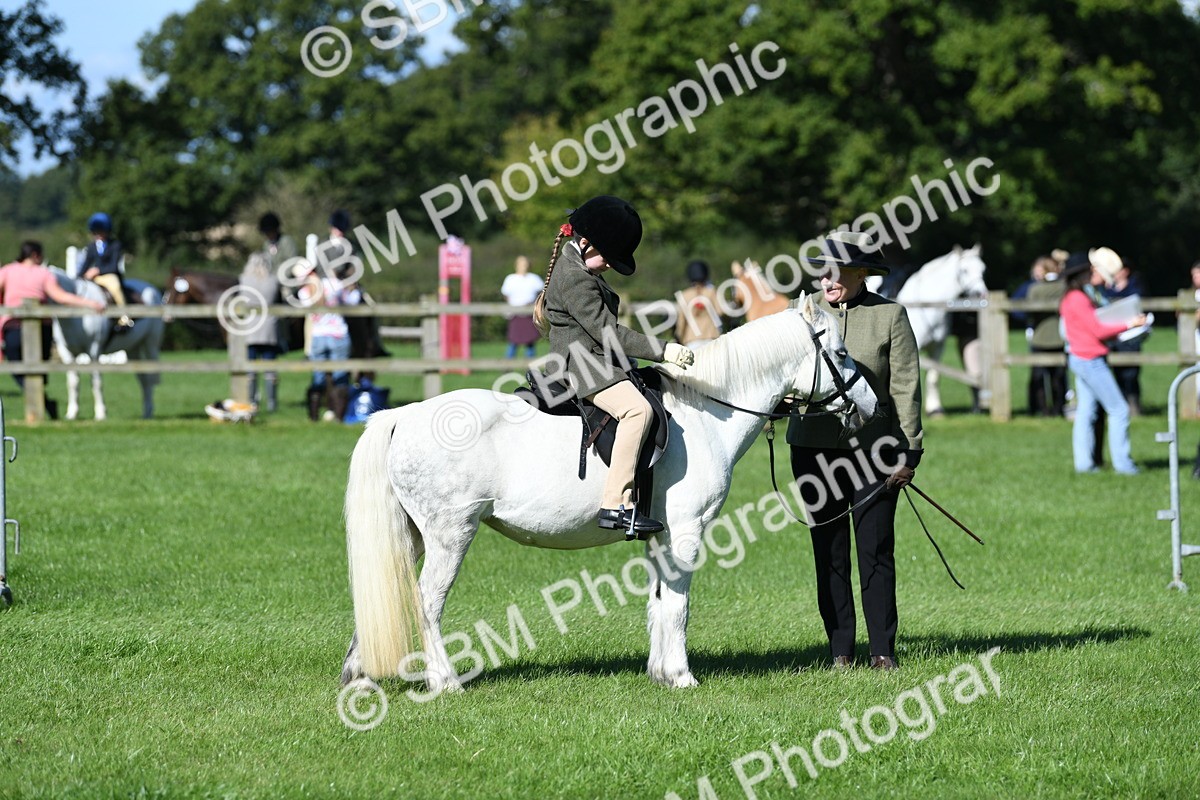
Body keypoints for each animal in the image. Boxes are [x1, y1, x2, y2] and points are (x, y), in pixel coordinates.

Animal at [50, 268, 165, 420]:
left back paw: (149, 411)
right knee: (144, 379)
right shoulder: (67, 353)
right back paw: (146, 412)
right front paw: (72, 413)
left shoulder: (94, 350)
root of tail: (151, 288)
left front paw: (100, 413)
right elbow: (73, 382)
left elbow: (96, 381)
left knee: (150, 377)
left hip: (150, 343)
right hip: (133, 349)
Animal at [339, 295, 879, 692]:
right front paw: (682, 676)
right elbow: (678, 604)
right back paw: (445, 680)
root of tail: (403, 415)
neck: (705, 409)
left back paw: (360, 676)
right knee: (427, 601)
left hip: (411, 535)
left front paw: (660, 673)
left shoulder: (659, 535)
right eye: (841, 352)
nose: (871, 405)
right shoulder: (686, 533)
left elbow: (659, 600)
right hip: (451, 534)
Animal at [892, 244, 988, 416]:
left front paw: (935, 409)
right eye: (964, 270)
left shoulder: (938, 347)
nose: (981, 293)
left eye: (983, 269)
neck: (929, 305)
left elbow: (934, 377)